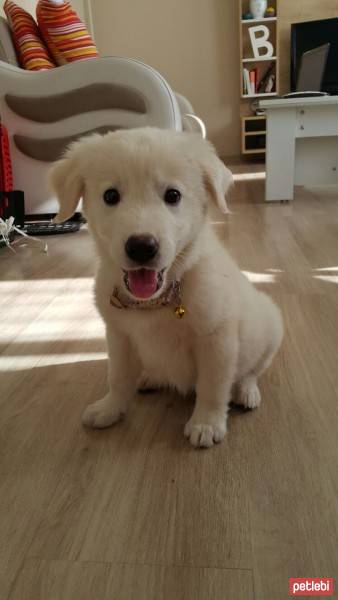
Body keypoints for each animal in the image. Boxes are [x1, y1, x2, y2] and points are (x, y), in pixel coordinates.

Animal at [50, 129, 282, 448]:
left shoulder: (217, 341)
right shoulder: (119, 335)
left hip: (270, 327)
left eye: (173, 195)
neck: (155, 300)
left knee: (251, 371)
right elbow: (118, 377)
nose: (141, 247)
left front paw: (206, 423)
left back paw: (246, 392)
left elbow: (212, 387)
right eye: (110, 196)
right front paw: (110, 408)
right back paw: (150, 377)